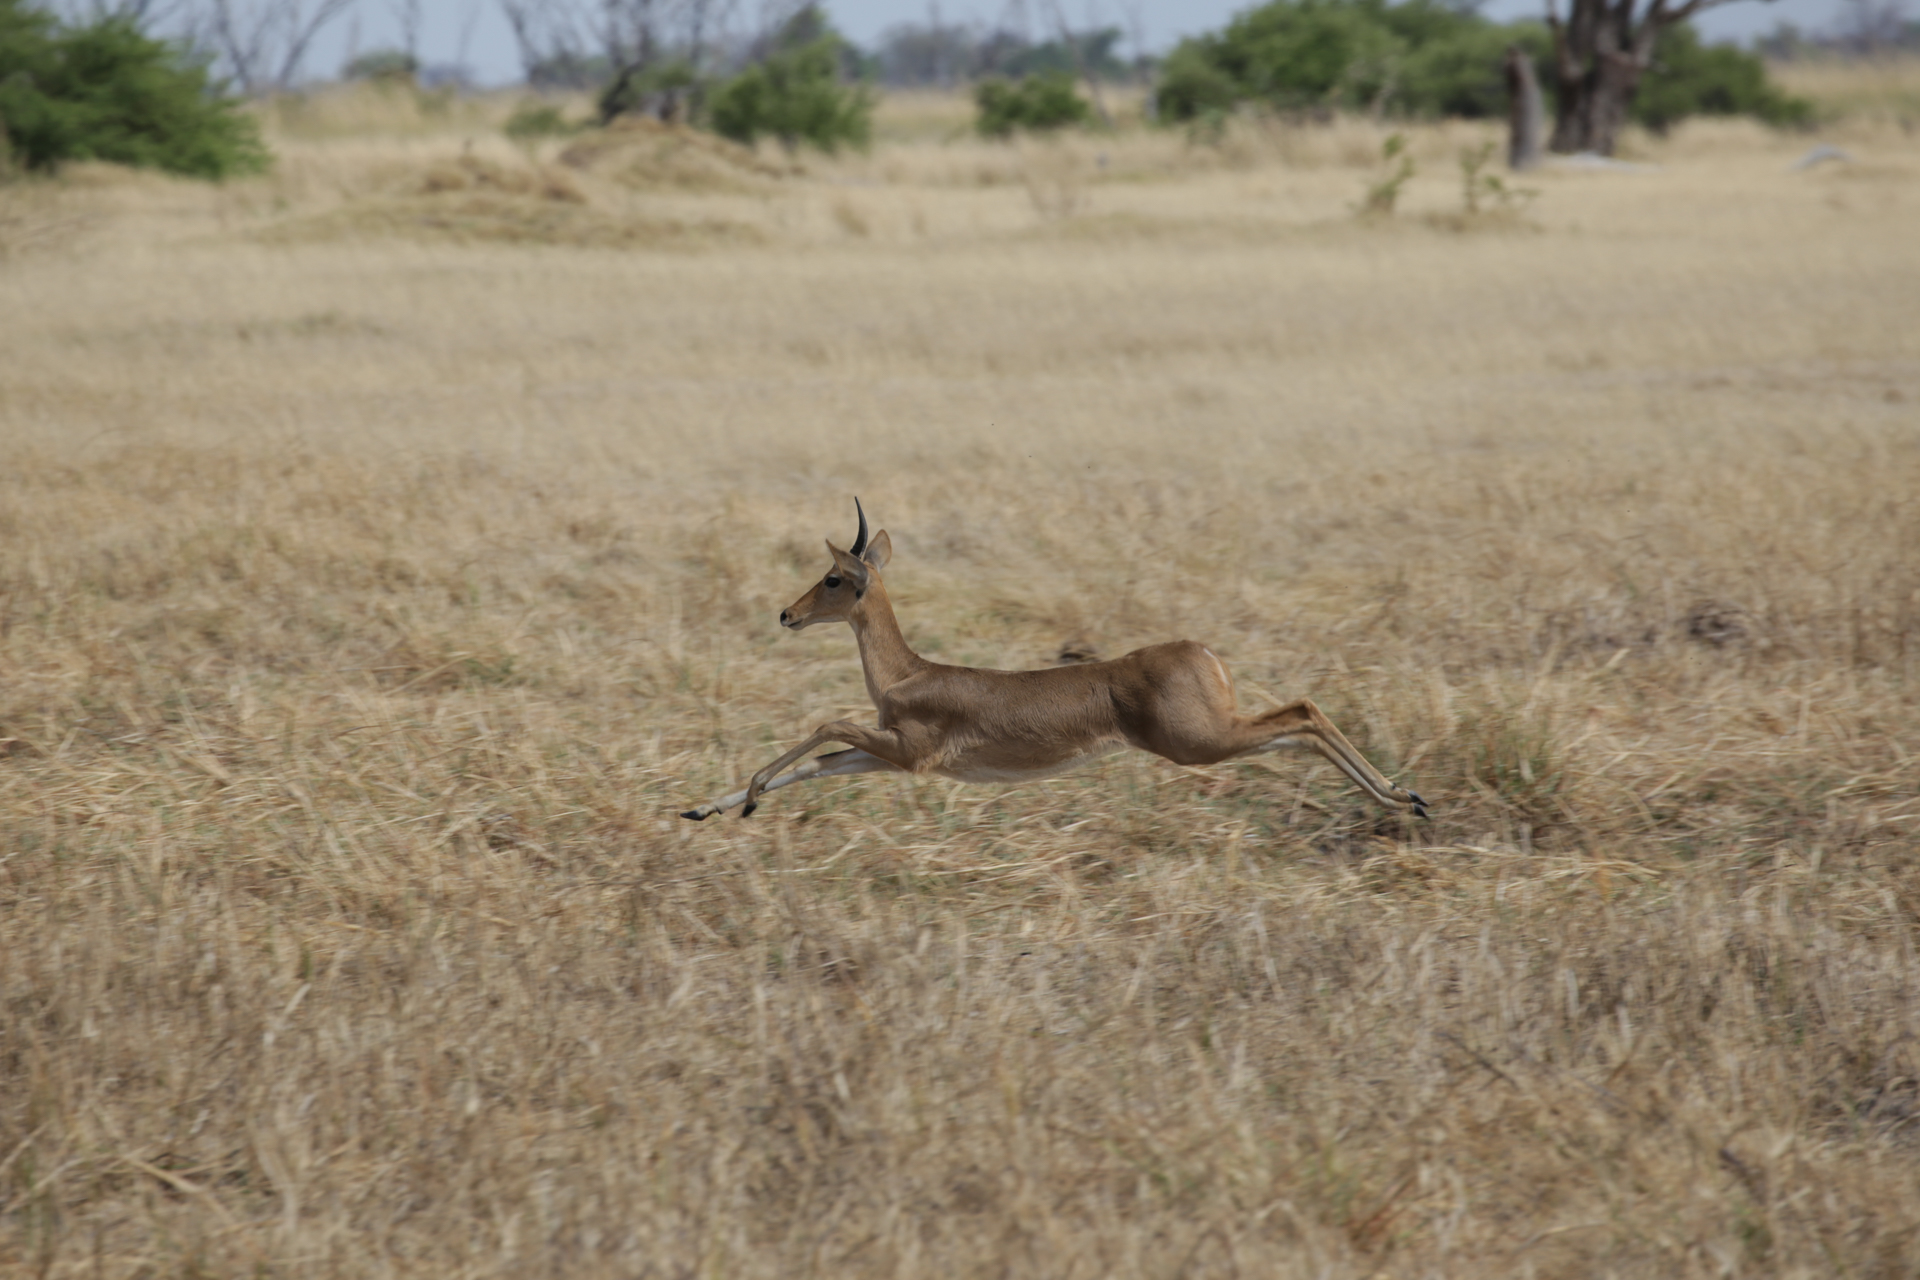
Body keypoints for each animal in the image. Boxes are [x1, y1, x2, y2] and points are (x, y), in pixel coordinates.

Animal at [679, 498, 1428, 821]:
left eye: (834, 578)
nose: (787, 614)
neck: (908, 674)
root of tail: (1202, 652)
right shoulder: (889, 757)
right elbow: (819, 764)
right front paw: (706, 809)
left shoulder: (908, 753)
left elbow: (825, 727)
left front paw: (745, 796)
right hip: (1214, 736)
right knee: (1299, 722)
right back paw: (1405, 796)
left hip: (1199, 743)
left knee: (1303, 712)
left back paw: (1404, 797)